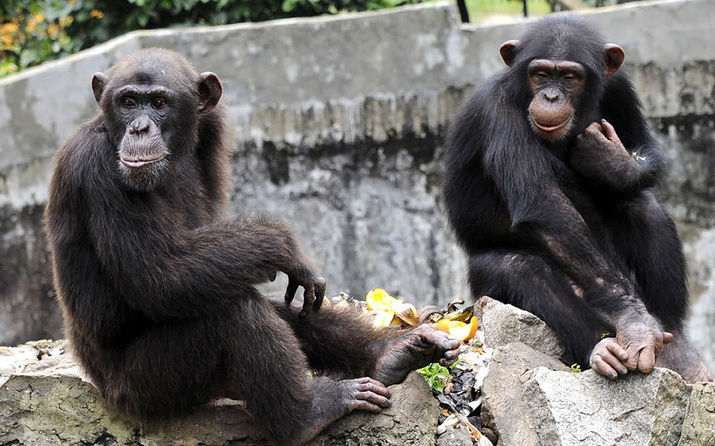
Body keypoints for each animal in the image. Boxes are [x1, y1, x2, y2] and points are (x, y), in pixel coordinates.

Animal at [44, 47, 462, 444]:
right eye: (127, 102)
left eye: (159, 103)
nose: (139, 126)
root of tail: (103, 392)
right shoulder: (97, 168)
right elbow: (161, 275)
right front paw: (283, 245)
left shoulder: (210, 134)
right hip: (148, 388)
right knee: (234, 312)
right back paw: (309, 413)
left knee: (278, 304)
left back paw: (393, 353)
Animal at [444, 15, 712, 382]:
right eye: (541, 74)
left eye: (570, 77)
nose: (551, 95)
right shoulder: (496, 111)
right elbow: (543, 205)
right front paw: (635, 321)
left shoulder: (620, 86)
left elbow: (645, 145)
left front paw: (611, 161)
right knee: (520, 268)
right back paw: (602, 347)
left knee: (642, 205)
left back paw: (679, 353)